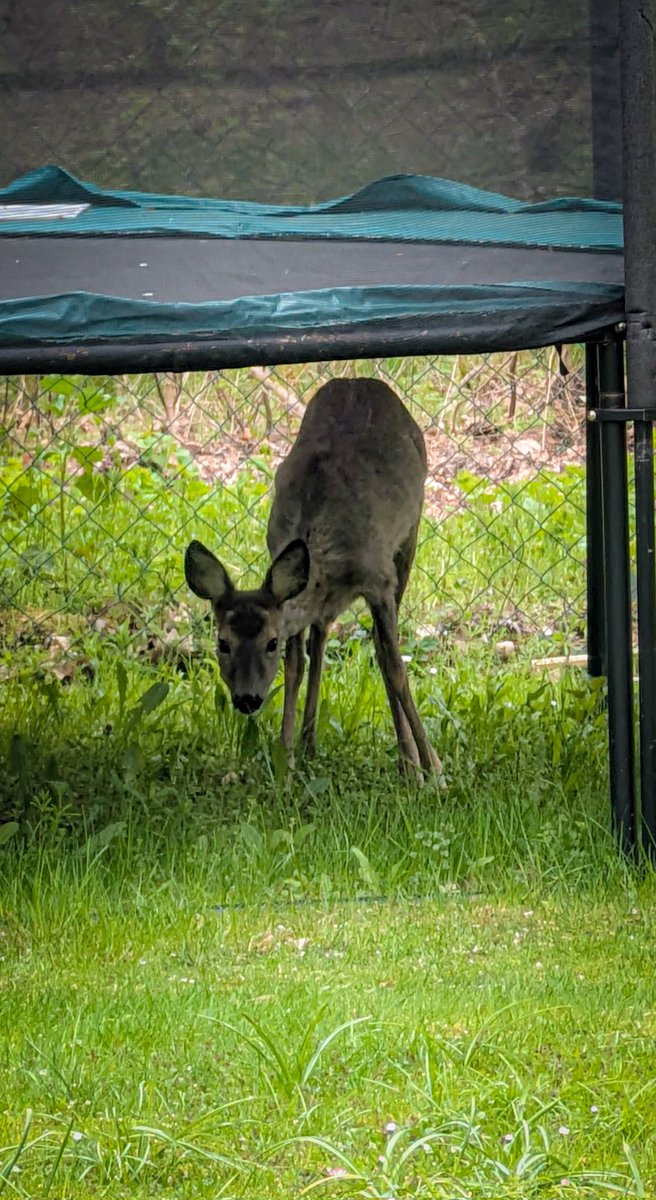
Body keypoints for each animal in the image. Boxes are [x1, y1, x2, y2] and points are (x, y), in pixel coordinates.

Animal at [184, 377, 442, 780]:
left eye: (270, 643)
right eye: (223, 644)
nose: (247, 699)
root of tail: (361, 380)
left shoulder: (379, 580)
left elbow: (395, 666)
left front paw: (430, 769)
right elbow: (295, 666)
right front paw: (285, 759)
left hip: (410, 533)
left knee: (378, 647)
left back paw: (407, 759)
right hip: (330, 598)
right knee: (319, 641)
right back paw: (309, 743)